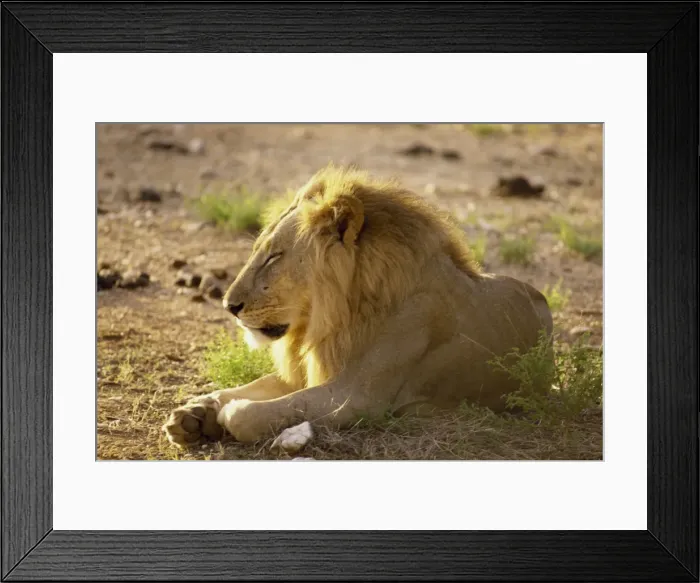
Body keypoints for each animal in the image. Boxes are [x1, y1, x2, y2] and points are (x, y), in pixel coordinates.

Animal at [163, 166, 553, 447]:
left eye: (274, 257)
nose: (229, 306)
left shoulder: (358, 397)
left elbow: (259, 413)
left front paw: (224, 415)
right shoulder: (310, 372)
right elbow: (255, 385)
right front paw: (194, 413)